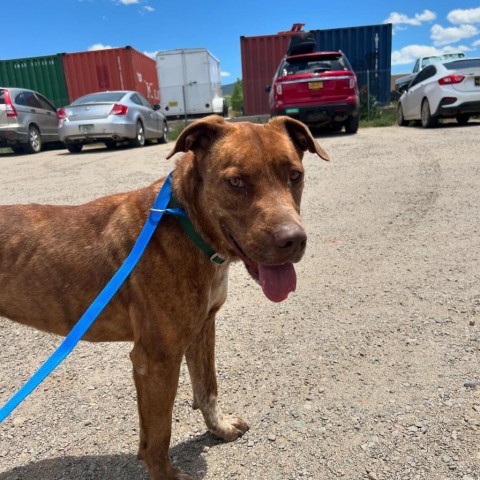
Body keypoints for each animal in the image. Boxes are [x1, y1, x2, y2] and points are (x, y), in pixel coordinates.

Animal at [0, 114, 330, 478]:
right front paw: (166, 473)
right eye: (235, 182)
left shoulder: (202, 328)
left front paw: (220, 428)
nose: (293, 240)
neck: (189, 227)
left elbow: (207, 388)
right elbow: (158, 436)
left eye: (295, 175)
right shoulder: (155, 360)